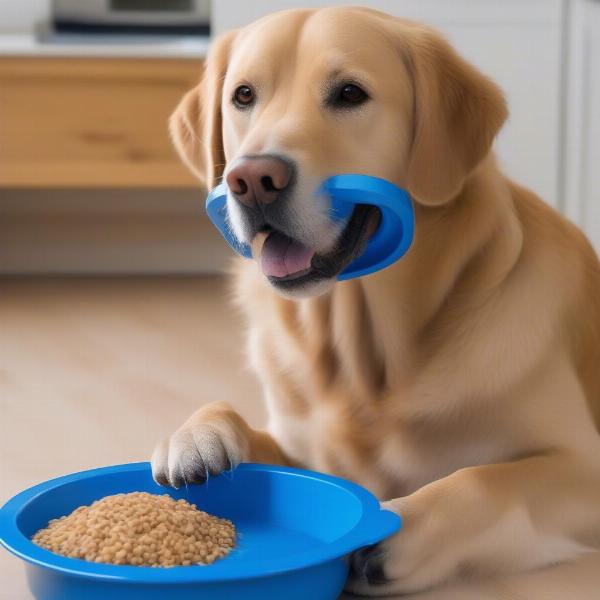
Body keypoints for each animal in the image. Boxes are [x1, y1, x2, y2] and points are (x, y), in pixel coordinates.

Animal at [152, 5, 600, 596]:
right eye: (244, 96)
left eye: (350, 93)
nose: (251, 179)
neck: (361, 355)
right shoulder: (306, 447)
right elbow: (235, 419)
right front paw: (197, 437)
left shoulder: (584, 462)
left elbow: (485, 478)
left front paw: (395, 533)